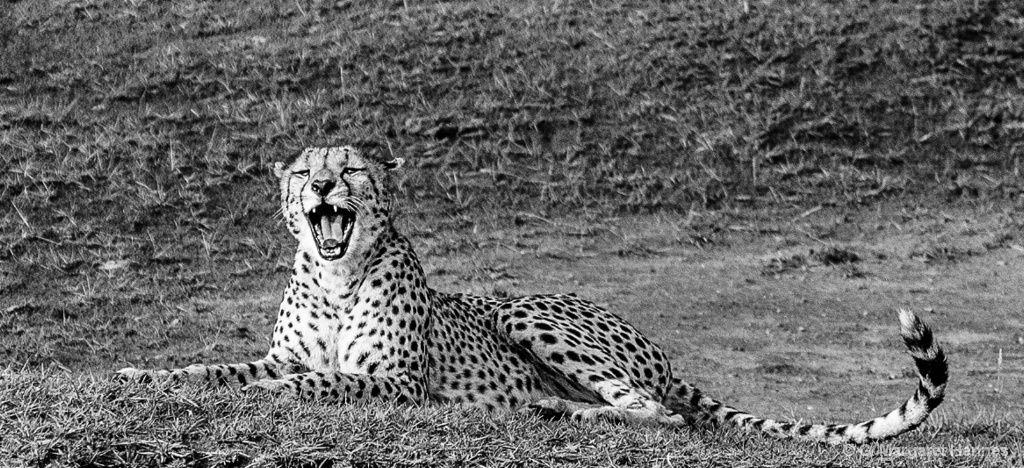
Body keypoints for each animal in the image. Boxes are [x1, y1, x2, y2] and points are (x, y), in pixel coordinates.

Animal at [117, 145, 942, 444]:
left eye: (348, 169)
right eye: (302, 172)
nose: (321, 187)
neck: (335, 276)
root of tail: (664, 356)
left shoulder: (398, 382)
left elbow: (324, 381)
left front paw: (280, 396)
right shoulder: (280, 354)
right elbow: (216, 368)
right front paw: (144, 376)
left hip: (524, 311)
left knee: (658, 413)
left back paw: (553, 409)